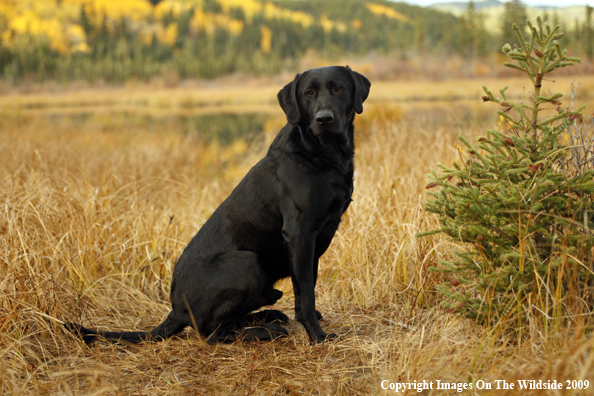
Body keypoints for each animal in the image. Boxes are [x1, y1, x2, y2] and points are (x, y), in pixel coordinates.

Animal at [66, 65, 370, 344]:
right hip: (246, 263)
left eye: (338, 88)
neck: (323, 153)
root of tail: (177, 311)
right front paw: (317, 335)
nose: (324, 119)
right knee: (213, 333)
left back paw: (267, 315)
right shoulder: (300, 234)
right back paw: (264, 330)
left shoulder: (314, 240)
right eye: (309, 93)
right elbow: (305, 293)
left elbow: (309, 284)